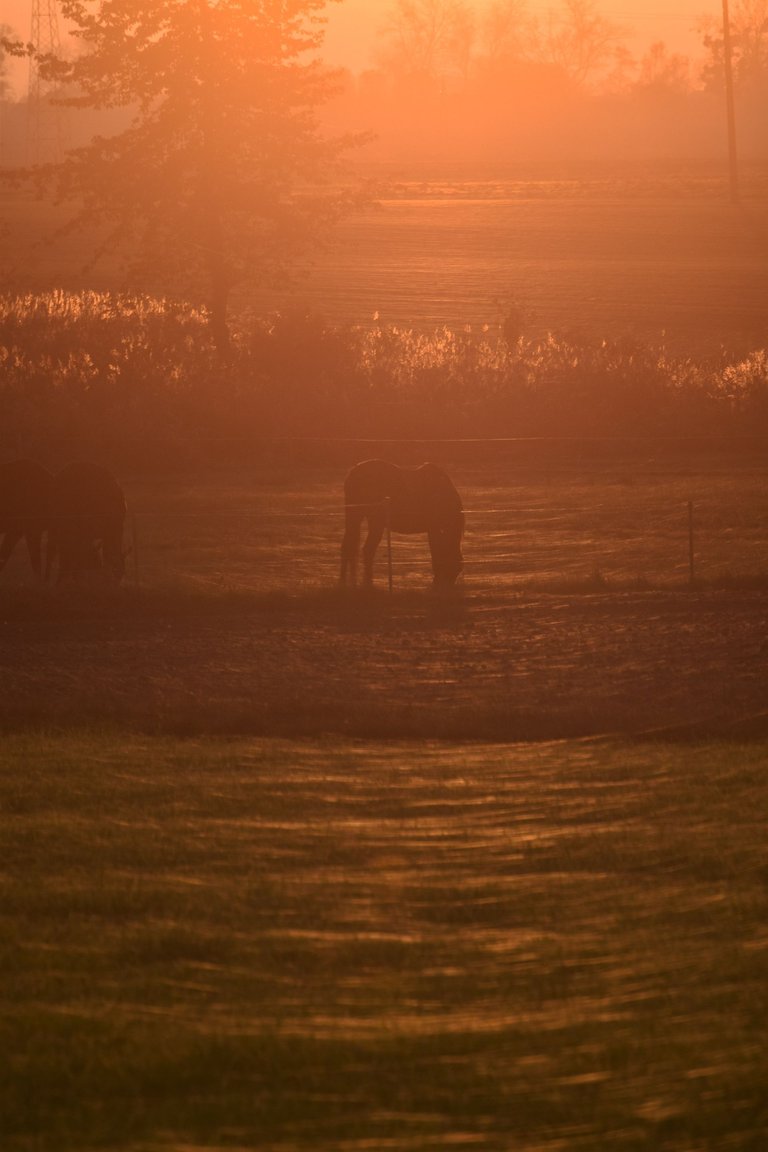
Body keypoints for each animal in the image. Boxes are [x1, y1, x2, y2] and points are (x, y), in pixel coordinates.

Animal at [340, 458, 462, 589]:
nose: (444, 586)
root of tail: (353, 473)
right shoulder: (435, 529)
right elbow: (436, 552)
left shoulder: (434, 530)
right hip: (374, 522)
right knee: (367, 549)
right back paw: (368, 584)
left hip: (355, 517)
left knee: (348, 547)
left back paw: (344, 582)